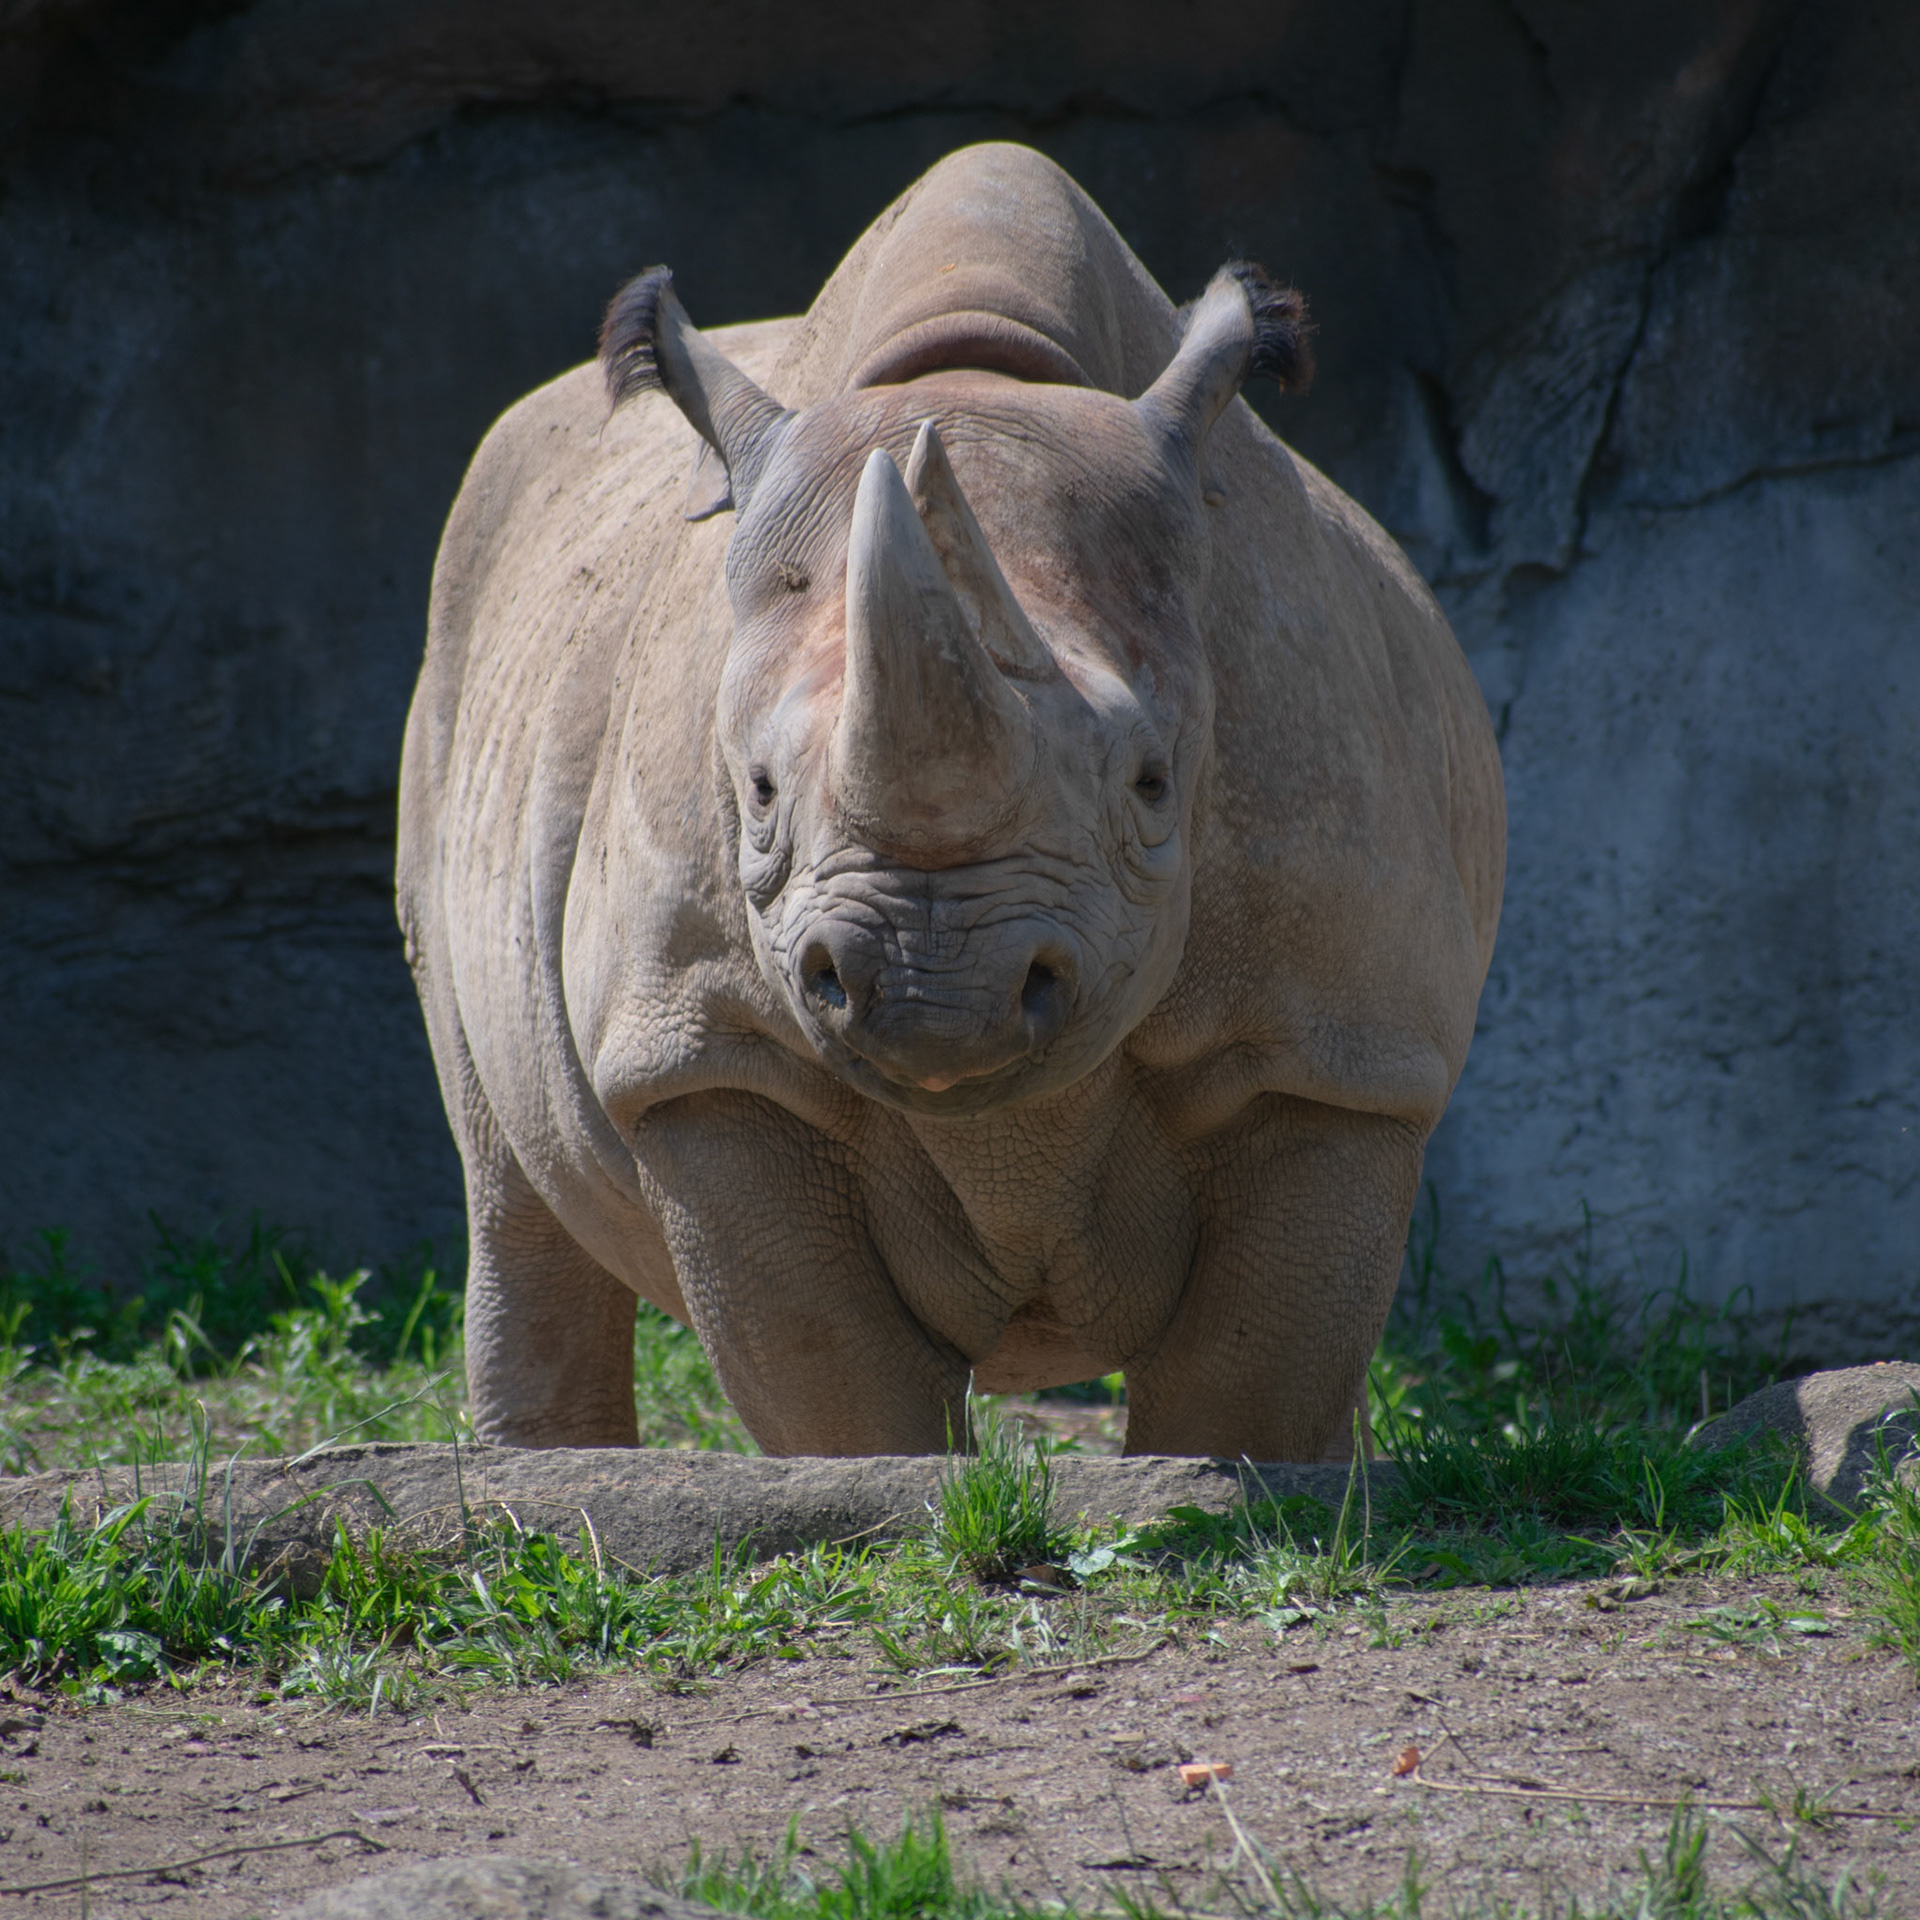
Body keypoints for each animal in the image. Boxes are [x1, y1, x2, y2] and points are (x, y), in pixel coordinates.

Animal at [397, 144, 1504, 1462]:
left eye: (1153, 785)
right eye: (756, 792)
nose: (937, 990)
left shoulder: (1337, 1051)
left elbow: (1248, 1384)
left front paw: (1242, 1481)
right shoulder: (709, 1051)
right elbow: (843, 1397)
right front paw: (890, 1490)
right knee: (507, 1175)